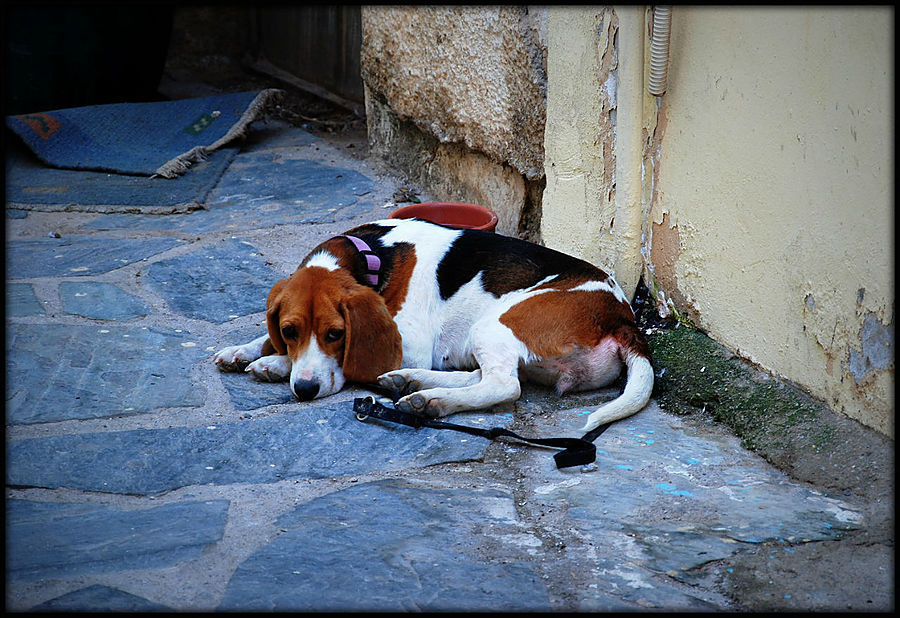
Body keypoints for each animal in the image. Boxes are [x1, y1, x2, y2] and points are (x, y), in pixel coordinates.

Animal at [218, 217, 652, 428]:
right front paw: (246, 351)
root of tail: (622, 319)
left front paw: (275, 363)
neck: (372, 255)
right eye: (289, 331)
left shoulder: (409, 344)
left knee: (503, 385)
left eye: (336, 334)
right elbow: (265, 338)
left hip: (495, 324)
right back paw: (411, 384)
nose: (305, 391)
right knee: (482, 376)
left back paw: (432, 400)